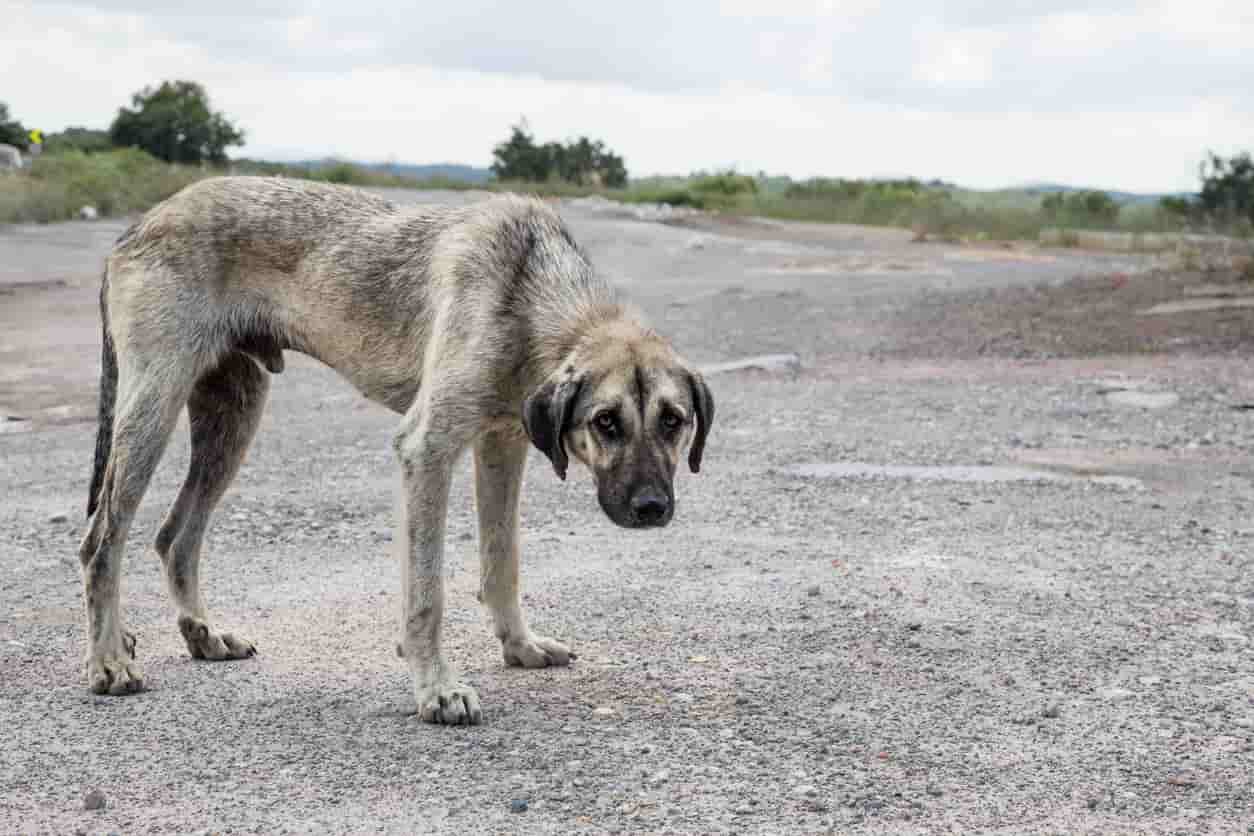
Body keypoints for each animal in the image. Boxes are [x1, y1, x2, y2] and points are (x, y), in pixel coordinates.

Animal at [78, 176, 717, 726]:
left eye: (674, 421)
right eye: (606, 422)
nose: (651, 509)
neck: (530, 291)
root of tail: (138, 225)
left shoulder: (501, 446)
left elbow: (502, 561)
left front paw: (519, 645)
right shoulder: (427, 451)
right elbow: (427, 592)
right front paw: (436, 687)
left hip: (231, 421)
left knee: (175, 536)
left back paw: (203, 635)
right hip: (153, 410)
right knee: (100, 541)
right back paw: (109, 660)